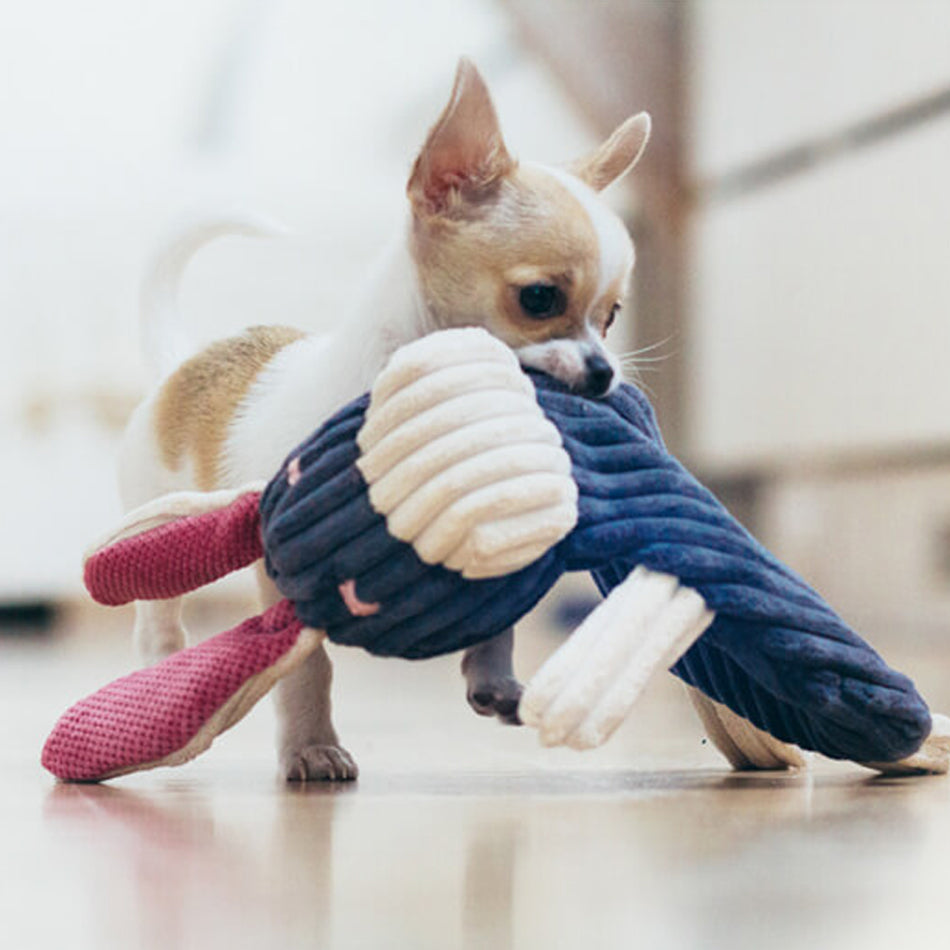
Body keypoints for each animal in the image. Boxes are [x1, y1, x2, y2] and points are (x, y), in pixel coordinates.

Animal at [119, 59, 652, 780]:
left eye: (612, 317)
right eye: (539, 299)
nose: (602, 375)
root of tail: (187, 360)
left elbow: (498, 617)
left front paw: (492, 677)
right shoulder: (284, 572)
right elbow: (306, 669)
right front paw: (311, 746)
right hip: (158, 525)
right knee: (157, 613)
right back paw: (161, 671)